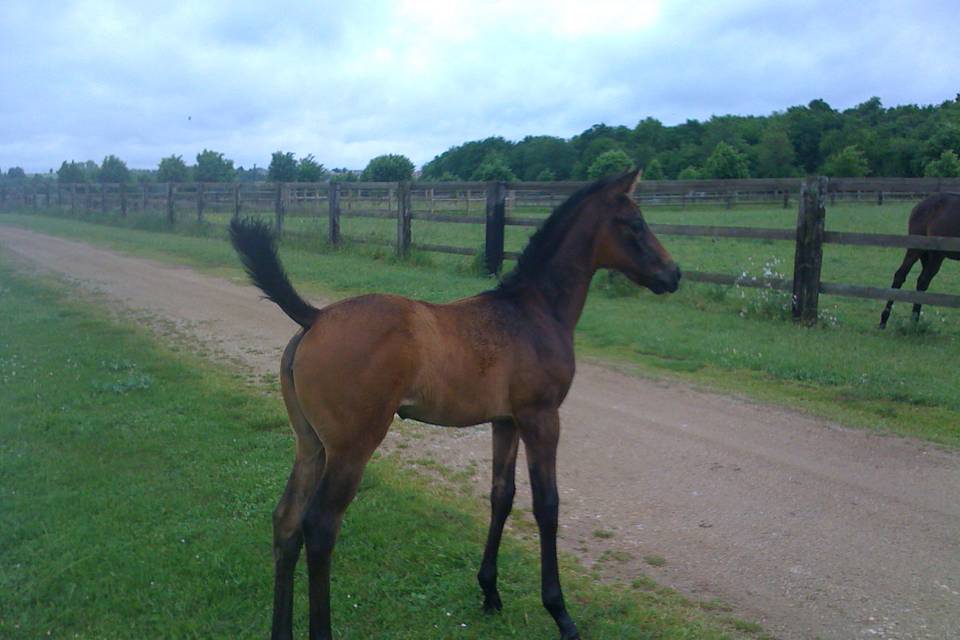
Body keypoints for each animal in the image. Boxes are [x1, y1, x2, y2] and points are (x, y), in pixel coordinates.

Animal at [231, 170, 684, 640]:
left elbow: (502, 495)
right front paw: (560, 614)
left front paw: (490, 591)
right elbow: (547, 506)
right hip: (351, 448)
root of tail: (315, 318)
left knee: (286, 522)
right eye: (635, 223)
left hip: (310, 444)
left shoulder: (506, 421)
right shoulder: (542, 417)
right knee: (319, 526)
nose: (674, 273)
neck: (534, 311)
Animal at [876, 191, 960, 328]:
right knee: (902, 276)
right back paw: (884, 320)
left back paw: (914, 321)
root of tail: (919, 206)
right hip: (919, 250)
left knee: (922, 282)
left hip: (933, 256)